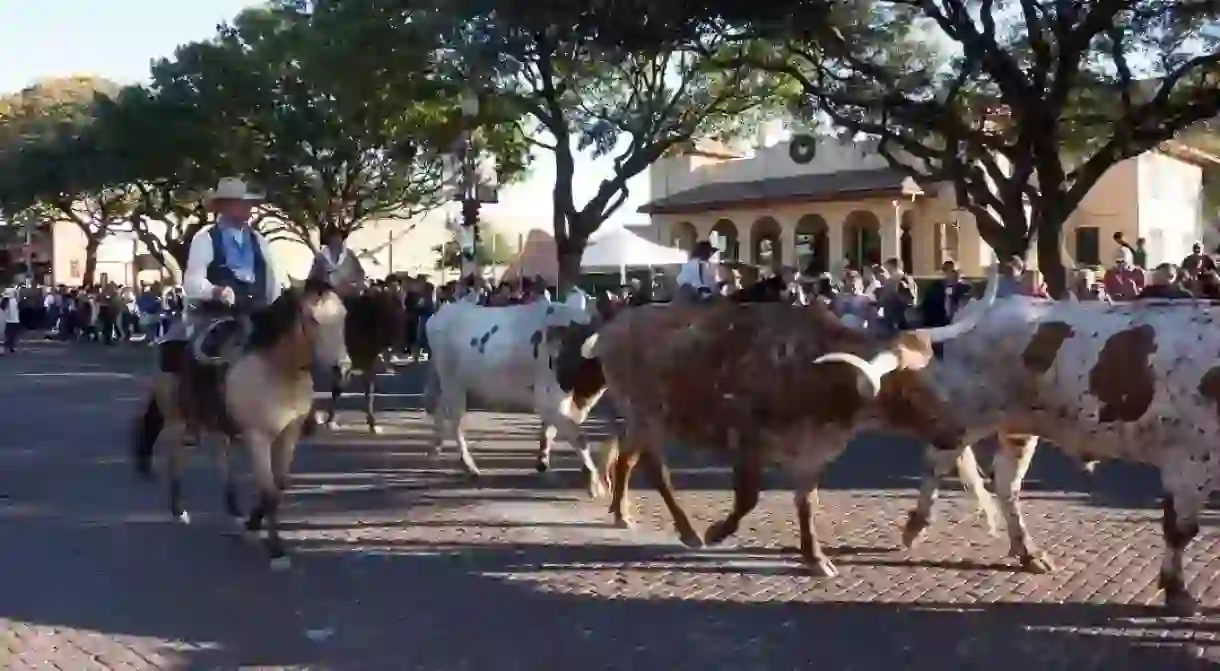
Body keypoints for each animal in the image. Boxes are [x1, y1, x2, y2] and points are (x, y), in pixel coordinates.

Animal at [132, 281, 348, 570]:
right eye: (313, 319)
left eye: (344, 316)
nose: (342, 369)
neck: (275, 369)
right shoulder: (258, 438)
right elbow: (269, 492)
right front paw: (276, 551)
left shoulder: (288, 435)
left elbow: (279, 485)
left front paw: (251, 525)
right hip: (179, 420)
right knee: (177, 458)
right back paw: (179, 511)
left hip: (216, 427)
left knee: (221, 462)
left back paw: (233, 511)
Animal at [317, 285, 407, 436]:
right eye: (389, 309)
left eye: (402, 308)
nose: (397, 343)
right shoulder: (340, 366)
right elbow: (337, 389)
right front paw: (330, 421)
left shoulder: (367, 364)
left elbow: (369, 392)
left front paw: (372, 423)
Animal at [424, 295, 610, 500]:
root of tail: (444, 310)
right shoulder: (549, 400)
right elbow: (579, 437)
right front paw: (593, 482)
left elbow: (549, 431)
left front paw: (542, 463)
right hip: (452, 384)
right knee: (454, 421)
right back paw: (469, 466)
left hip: (448, 385)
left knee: (440, 411)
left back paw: (435, 452)